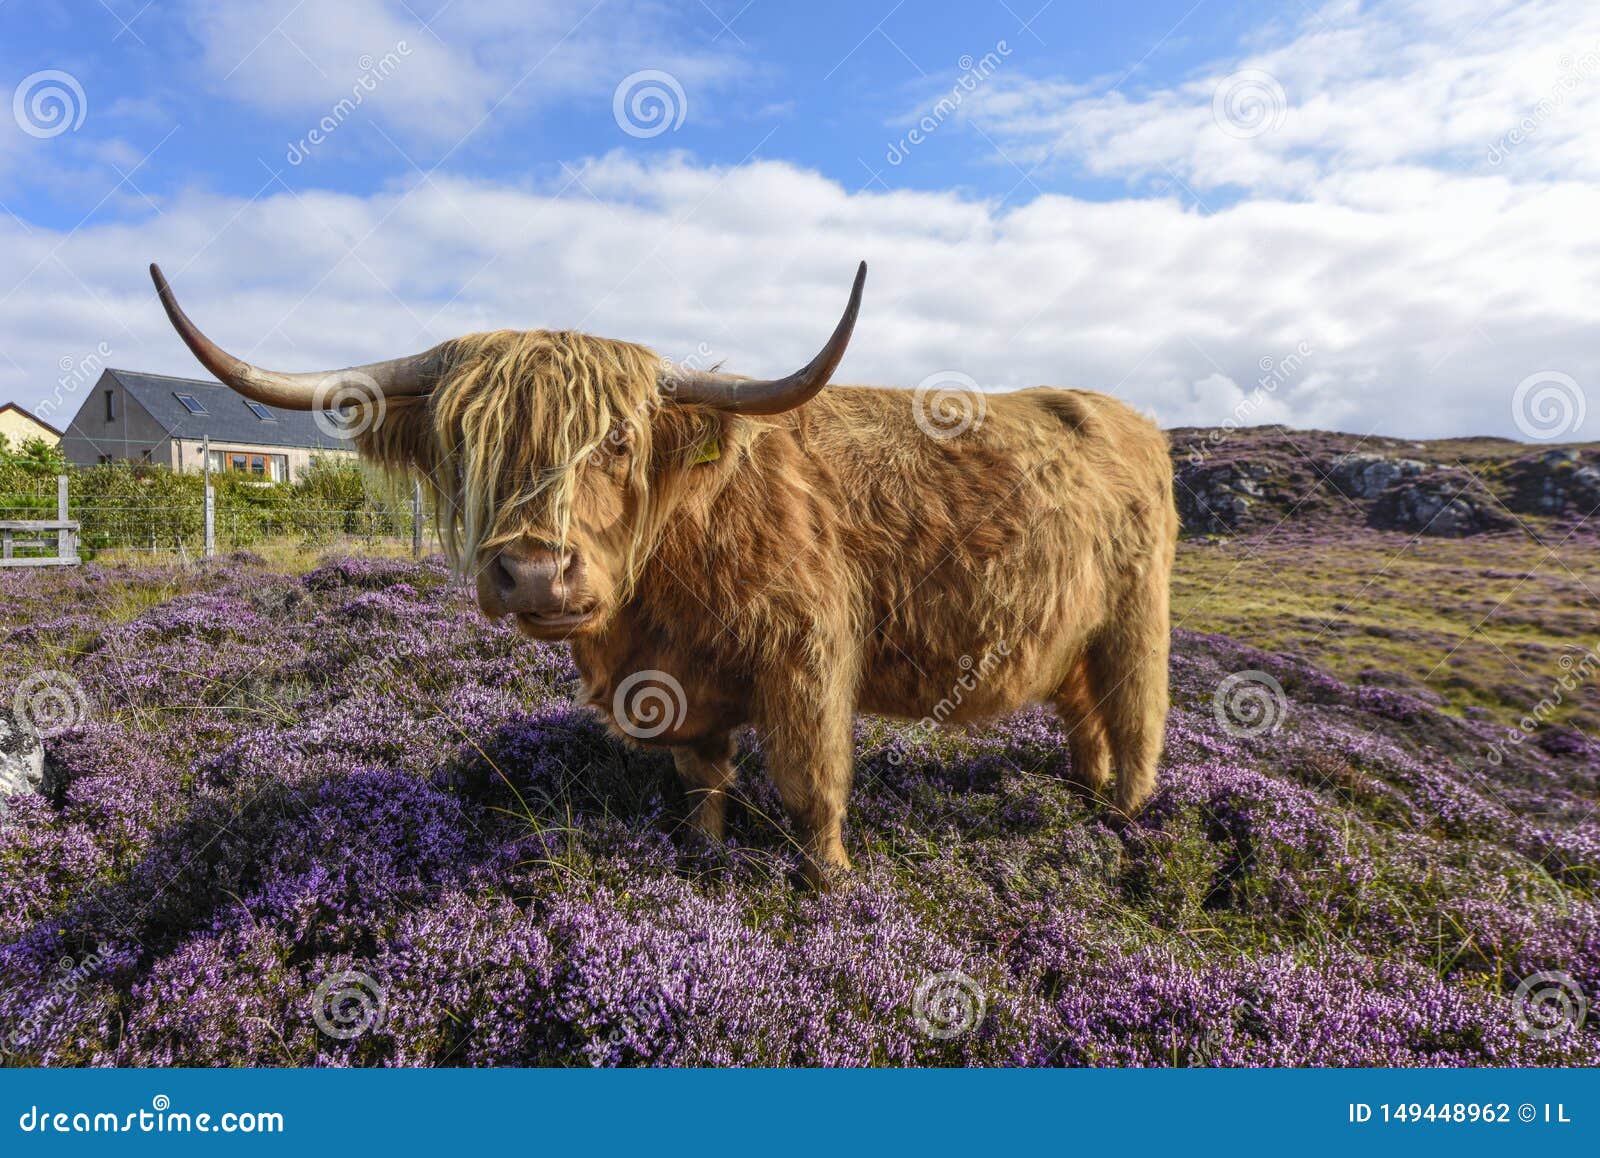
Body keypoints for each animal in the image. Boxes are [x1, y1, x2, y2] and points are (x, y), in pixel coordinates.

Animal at [152, 263, 1177, 889]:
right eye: (469, 443)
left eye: (616, 440)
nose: (533, 572)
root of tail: (1126, 416)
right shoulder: (681, 681)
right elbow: (702, 779)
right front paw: (702, 857)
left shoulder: (807, 662)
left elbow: (812, 786)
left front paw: (831, 886)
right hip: (1068, 633)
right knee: (1085, 716)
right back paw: (1083, 800)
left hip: (1137, 619)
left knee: (1137, 718)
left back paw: (1124, 826)